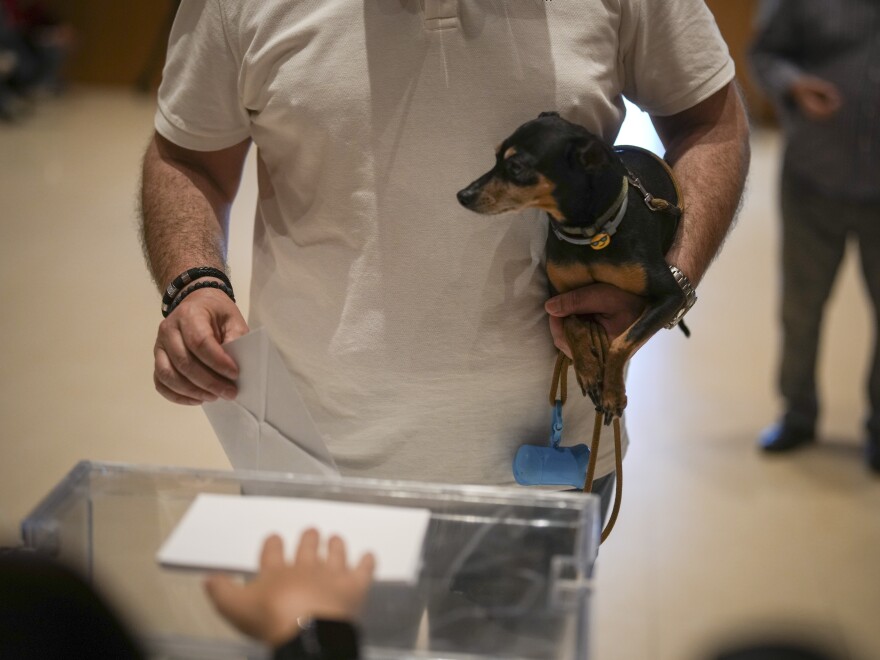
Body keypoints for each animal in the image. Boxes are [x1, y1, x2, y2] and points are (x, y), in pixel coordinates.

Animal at [458, 112, 692, 422]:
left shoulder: (670, 296)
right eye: (495, 157)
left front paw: (612, 393)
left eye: (516, 167)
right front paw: (589, 370)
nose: (462, 195)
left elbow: (621, 342)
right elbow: (572, 325)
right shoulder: (559, 294)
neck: (590, 235)